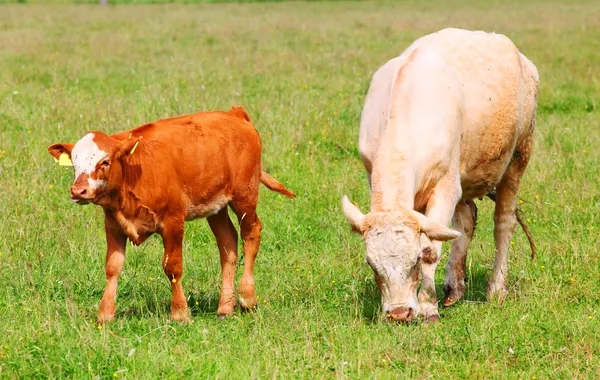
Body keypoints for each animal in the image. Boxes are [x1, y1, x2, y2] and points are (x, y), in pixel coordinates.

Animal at [47, 105, 296, 322]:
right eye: (74, 163)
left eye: (105, 161)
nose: (78, 191)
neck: (134, 172)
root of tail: (235, 114)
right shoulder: (113, 224)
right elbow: (112, 267)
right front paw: (106, 314)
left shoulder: (173, 222)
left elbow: (173, 267)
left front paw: (180, 313)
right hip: (216, 206)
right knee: (228, 244)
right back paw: (225, 307)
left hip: (245, 196)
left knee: (251, 234)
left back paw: (247, 298)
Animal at [342, 28, 540, 322]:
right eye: (372, 264)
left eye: (413, 260)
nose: (398, 313)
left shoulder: (445, 187)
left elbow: (431, 249)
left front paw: (427, 307)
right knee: (466, 219)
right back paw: (454, 286)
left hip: (518, 158)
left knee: (503, 224)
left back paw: (496, 289)